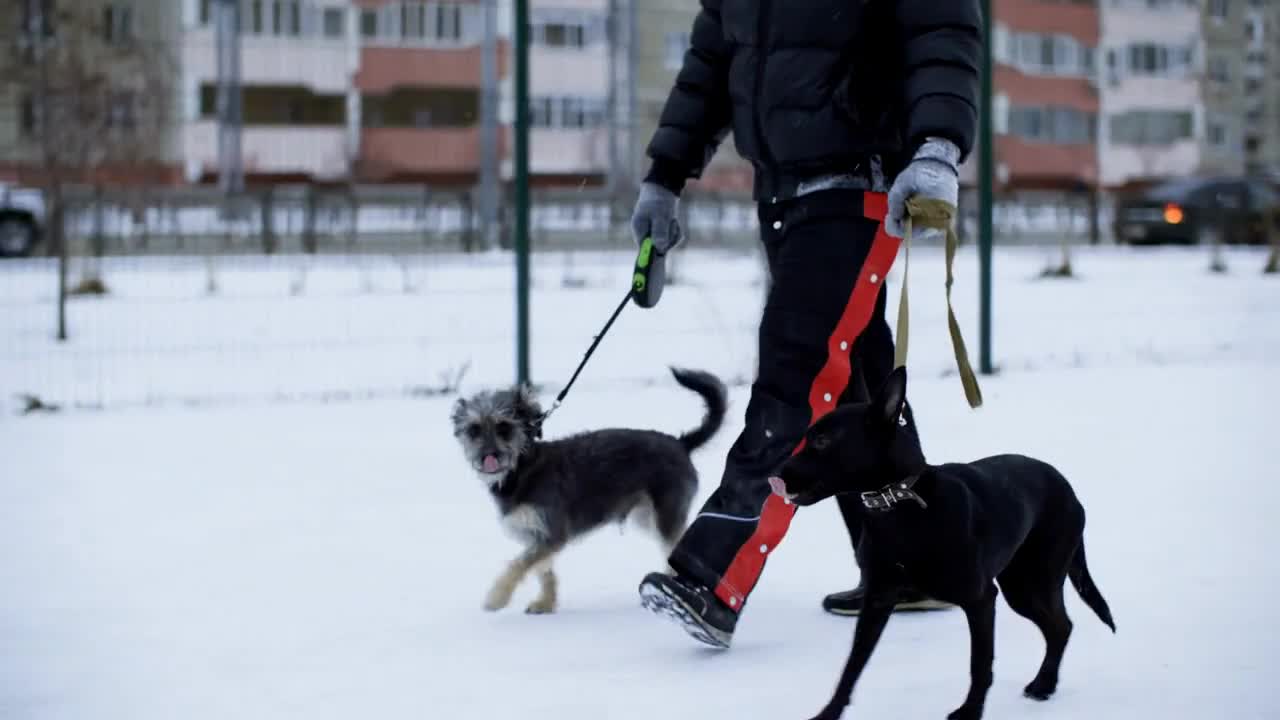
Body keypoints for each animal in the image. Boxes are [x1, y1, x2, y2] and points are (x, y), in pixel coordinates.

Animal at [455, 368, 727, 609]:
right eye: (473, 430)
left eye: (504, 427)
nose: (488, 456)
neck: (523, 469)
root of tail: (681, 444)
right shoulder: (538, 535)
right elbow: (543, 570)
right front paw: (546, 603)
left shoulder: (552, 532)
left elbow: (518, 565)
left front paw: (497, 597)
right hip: (646, 517)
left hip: (665, 516)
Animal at [768, 366, 1111, 712]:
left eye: (822, 441)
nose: (775, 476)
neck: (898, 504)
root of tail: (1068, 489)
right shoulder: (877, 599)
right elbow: (852, 665)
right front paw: (830, 711)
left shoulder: (981, 599)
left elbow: (980, 664)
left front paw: (970, 712)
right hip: (1020, 585)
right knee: (1059, 627)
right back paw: (1045, 684)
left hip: (1030, 582)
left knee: (1061, 626)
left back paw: (1044, 685)